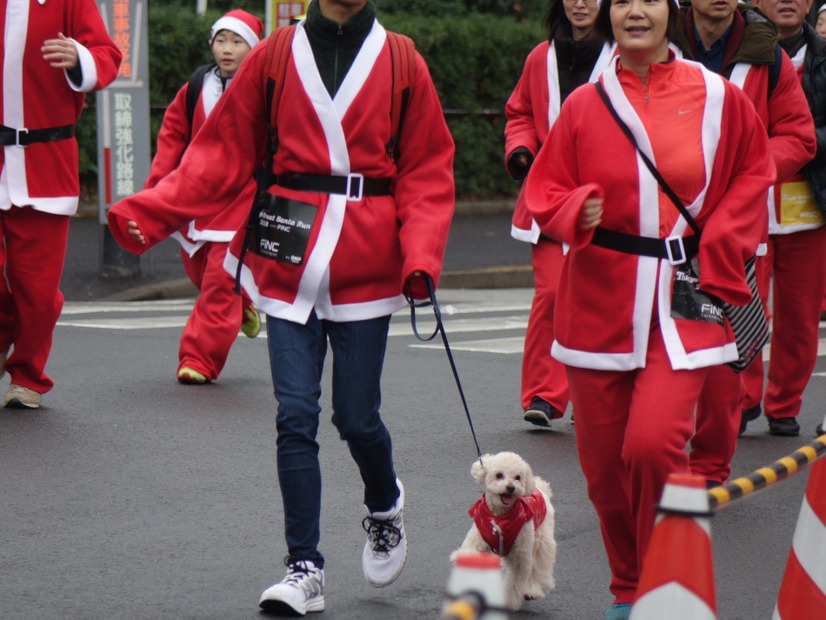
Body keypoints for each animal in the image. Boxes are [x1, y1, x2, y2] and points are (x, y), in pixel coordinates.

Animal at [448, 450, 556, 612]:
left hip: (540, 539)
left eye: (518, 477)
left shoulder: (521, 557)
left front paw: (512, 601)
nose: (511, 487)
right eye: (499, 475)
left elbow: (516, 581)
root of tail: (540, 488)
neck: (500, 517)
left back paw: (532, 590)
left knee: (537, 567)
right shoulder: (477, 540)